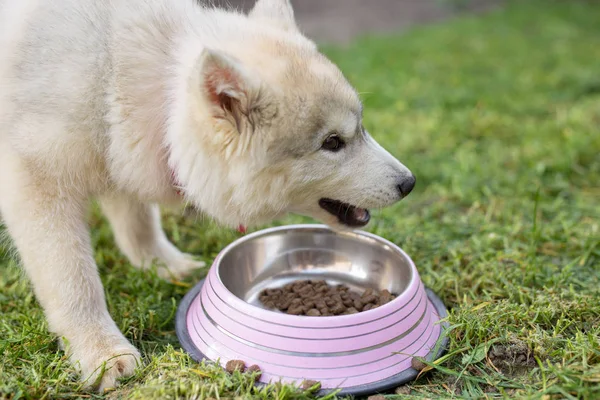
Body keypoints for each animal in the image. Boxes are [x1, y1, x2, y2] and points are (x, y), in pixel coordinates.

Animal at [0, 0, 414, 390]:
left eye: (359, 128)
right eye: (332, 142)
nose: (408, 183)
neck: (114, 73)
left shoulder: (119, 149)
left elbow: (137, 221)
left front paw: (161, 264)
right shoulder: (37, 180)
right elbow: (74, 281)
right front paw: (101, 352)